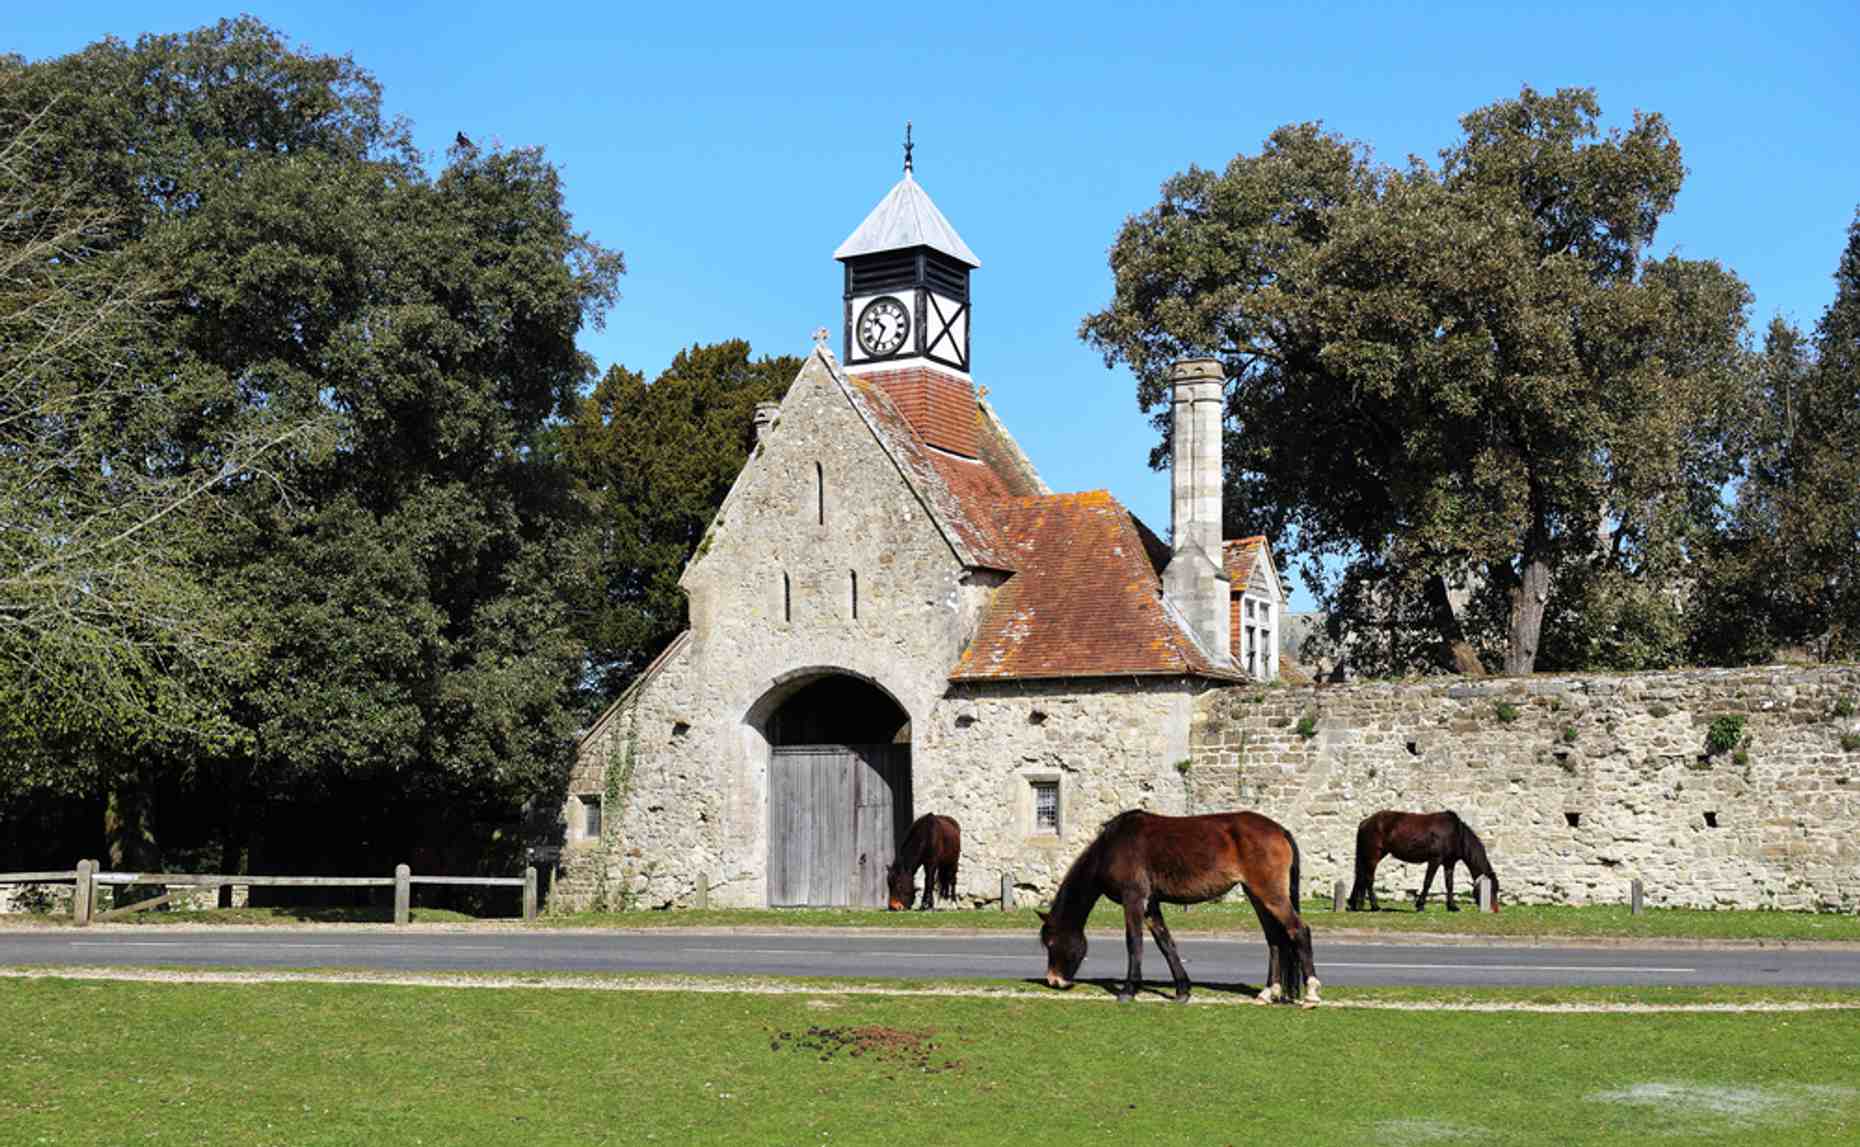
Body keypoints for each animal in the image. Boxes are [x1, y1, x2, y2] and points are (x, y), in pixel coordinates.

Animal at [1036, 809, 1320, 1008]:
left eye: (1050, 943)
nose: (1053, 980)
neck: (1111, 847)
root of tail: (1279, 830)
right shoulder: (1151, 904)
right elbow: (1166, 943)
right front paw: (1182, 990)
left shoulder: (1134, 899)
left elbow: (1134, 942)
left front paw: (1128, 990)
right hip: (1257, 895)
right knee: (1274, 940)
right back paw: (1268, 992)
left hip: (1270, 894)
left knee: (1299, 930)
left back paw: (1311, 994)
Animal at [1347, 809, 1499, 912]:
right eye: (1492, 889)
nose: (1495, 910)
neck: (1456, 833)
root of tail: (1365, 822)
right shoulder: (1435, 860)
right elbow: (1427, 882)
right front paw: (1420, 905)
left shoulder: (1449, 863)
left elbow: (1449, 884)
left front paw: (1452, 906)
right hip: (1373, 856)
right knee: (1368, 879)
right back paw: (1375, 906)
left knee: (1360, 877)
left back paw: (1355, 905)